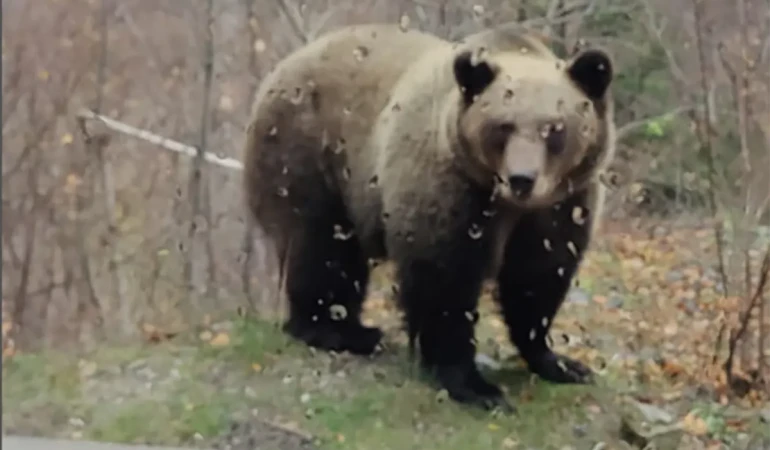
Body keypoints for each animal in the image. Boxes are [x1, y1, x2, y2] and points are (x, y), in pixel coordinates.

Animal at [243, 22, 616, 414]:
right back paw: (335, 330)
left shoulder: (563, 203)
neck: (506, 202)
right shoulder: (451, 184)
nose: (521, 179)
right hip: (310, 149)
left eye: (555, 128)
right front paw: (475, 386)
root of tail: (283, 67)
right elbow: (444, 279)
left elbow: (538, 275)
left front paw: (561, 362)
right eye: (503, 126)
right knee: (321, 246)